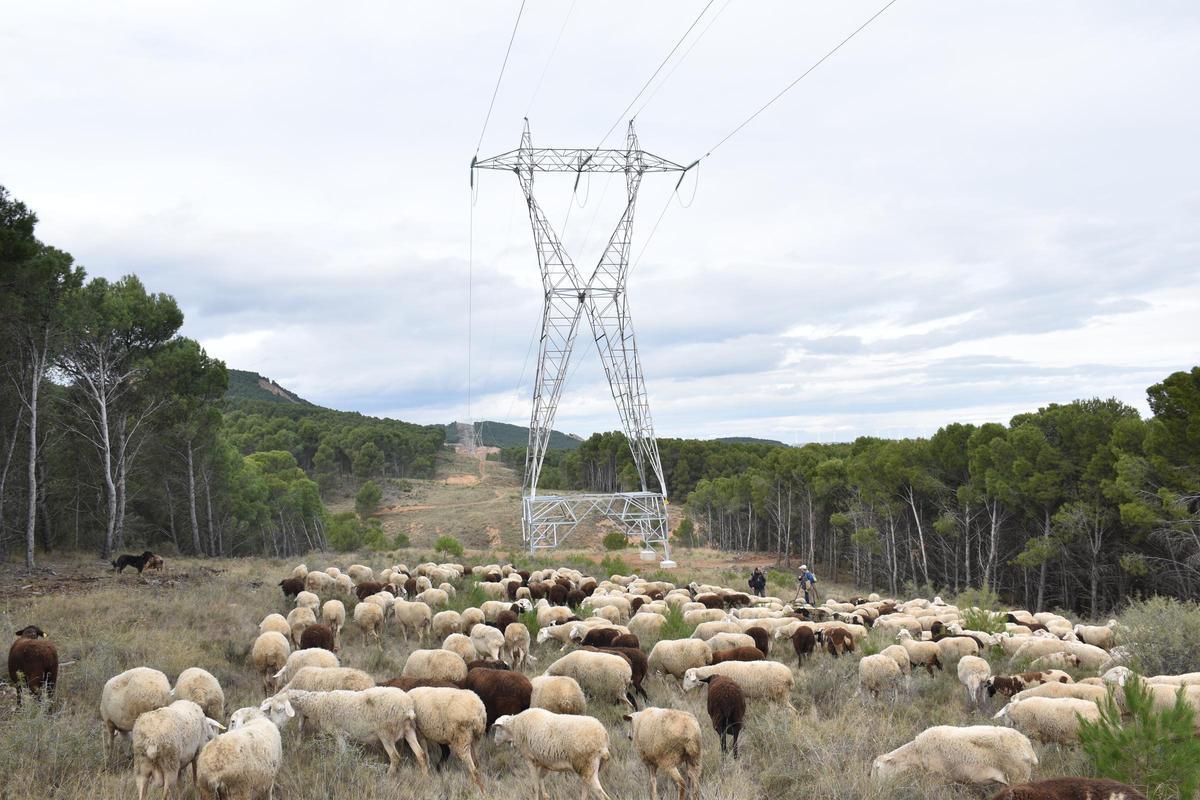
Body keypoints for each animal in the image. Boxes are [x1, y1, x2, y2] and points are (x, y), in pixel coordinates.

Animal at [270, 690, 429, 777]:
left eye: (279, 709)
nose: (275, 727)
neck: (318, 703)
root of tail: (408, 708)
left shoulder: (339, 733)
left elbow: (343, 755)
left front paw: (343, 769)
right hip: (409, 730)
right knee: (421, 754)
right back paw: (424, 777)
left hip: (386, 733)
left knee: (395, 757)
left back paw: (388, 776)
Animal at [873, 724, 1041, 786]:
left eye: (877, 768)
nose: (874, 784)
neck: (917, 752)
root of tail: (1027, 745)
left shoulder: (936, 775)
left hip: (1018, 776)